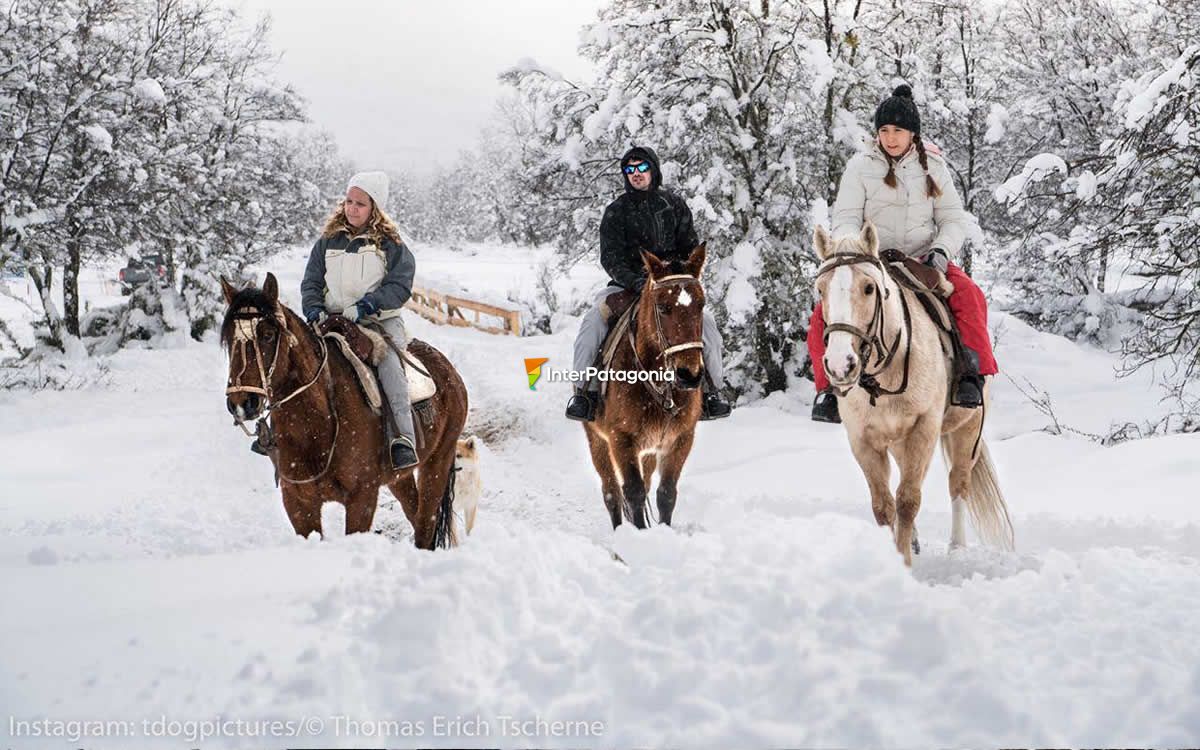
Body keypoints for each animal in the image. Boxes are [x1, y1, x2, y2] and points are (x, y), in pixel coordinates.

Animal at [220, 272, 468, 547]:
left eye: (267, 334)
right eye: (229, 338)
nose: (242, 402)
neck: (318, 424)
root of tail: (448, 370)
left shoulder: (362, 498)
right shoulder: (298, 503)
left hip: (438, 462)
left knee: (426, 526)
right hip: (400, 478)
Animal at [583, 246, 705, 525]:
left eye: (702, 304)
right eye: (663, 307)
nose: (689, 375)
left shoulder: (681, 439)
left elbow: (666, 494)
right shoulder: (620, 439)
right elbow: (633, 493)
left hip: (648, 450)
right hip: (597, 440)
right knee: (611, 492)